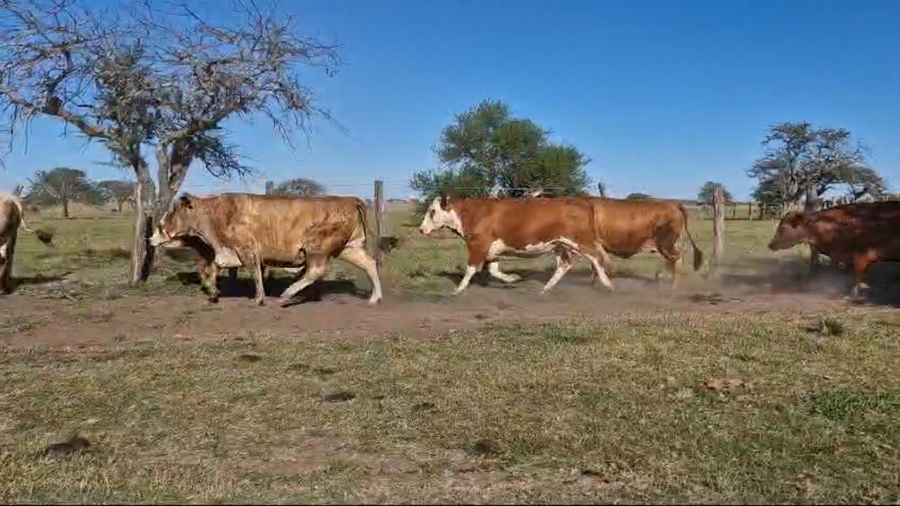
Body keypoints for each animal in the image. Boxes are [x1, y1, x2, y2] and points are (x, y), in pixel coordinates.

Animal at [150, 192, 383, 306]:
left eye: (172, 212)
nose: (151, 237)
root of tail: (350, 199)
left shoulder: (246, 248)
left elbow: (254, 272)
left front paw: (259, 298)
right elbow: (213, 268)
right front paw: (214, 291)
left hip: (317, 247)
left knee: (315, 271)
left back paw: (287, 294)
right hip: (349, 248)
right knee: (369, 264)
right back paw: (374, 298)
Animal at [417, 194, 614, 295]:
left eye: (432, 211)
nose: (421, 229)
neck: (473, 213)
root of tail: (582, 201)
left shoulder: (478, 245)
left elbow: (470, 269)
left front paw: (458, 289)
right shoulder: (491, 250)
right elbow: (493, 270)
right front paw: (513, 279)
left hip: (580, 240)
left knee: (597, 258)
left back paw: (607, 284)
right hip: (560, 244)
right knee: (565, 264)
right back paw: (546, 288)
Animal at [767, 201, 900, 297]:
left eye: (783, 228)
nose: (770, 245)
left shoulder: (861, 256)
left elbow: (856, 275)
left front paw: (853, 293)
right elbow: (848, 275)